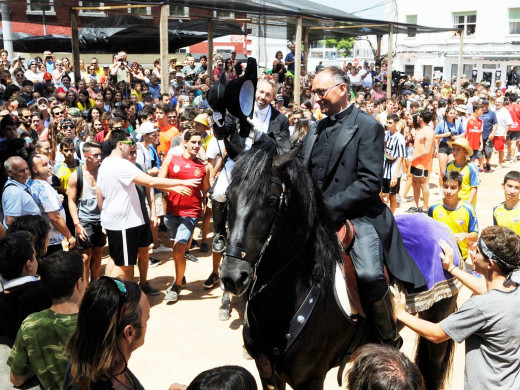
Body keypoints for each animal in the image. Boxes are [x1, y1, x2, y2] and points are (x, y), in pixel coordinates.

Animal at [221, 149, 458, 390]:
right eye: (228, 198)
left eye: (270, 201)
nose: (233, 276)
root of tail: (441, 228)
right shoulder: (268, 373)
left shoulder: (310, 378)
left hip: (437, 321)